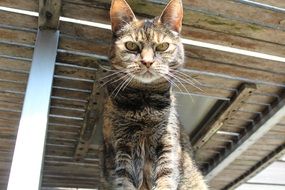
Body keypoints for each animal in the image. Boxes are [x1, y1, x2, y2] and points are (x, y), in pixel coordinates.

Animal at [101, 0, 206, 189]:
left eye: (163, 46)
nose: (147, 62)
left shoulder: (167, 144)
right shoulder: (120, 148)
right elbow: (123, 180)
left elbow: (166, 177)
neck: (145, 104)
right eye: (131, 46)